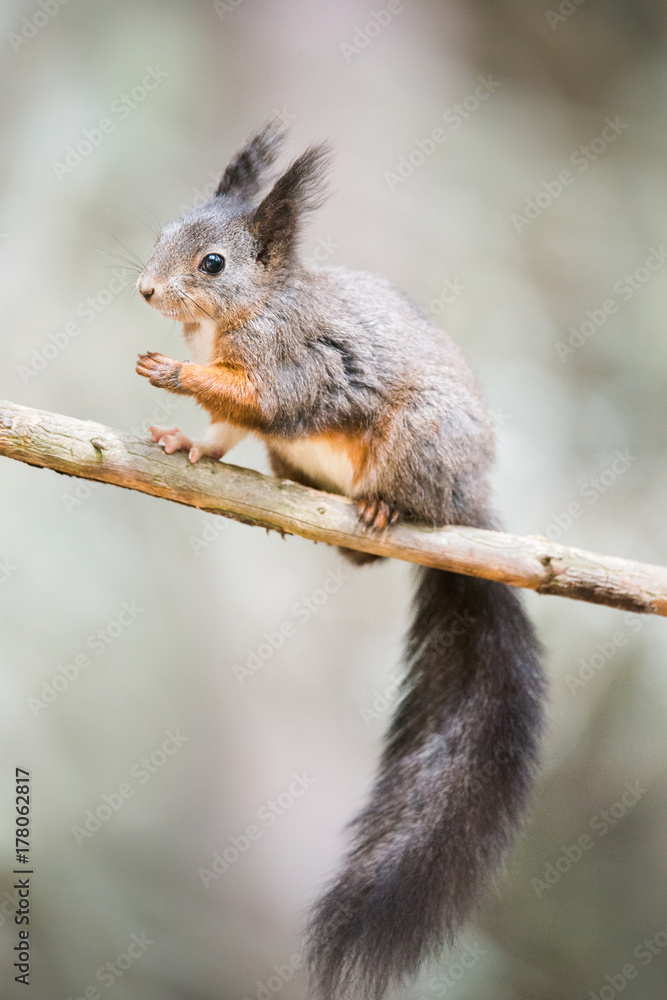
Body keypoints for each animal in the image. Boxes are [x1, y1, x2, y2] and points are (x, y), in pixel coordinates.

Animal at [135, 119, 546, 1000]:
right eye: (160, 233)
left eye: (211, 263)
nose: (145, 291)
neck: (257, 304)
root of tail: (470, 508)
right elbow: (226, 427)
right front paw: (189, 443)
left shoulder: (294, 365)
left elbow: (259, 397)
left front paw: (173, 374)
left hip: (419, 439)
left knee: (411, 496)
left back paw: (386, 511)